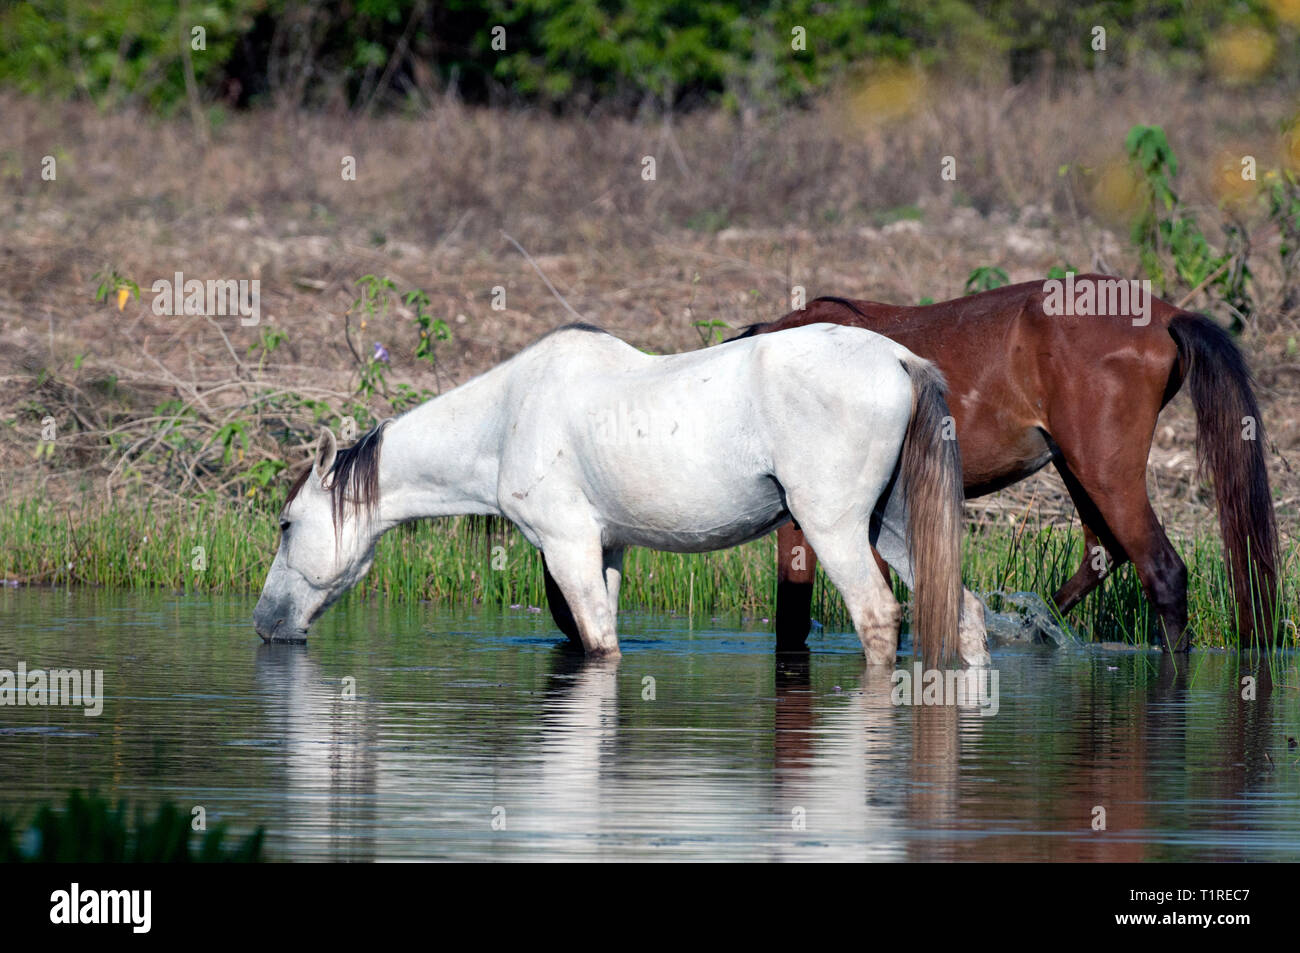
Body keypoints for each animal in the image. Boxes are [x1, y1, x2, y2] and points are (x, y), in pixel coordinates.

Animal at [250, 323, 982, 665]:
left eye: (286, 524)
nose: (264, 622)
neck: (507, 416)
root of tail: (897, 358)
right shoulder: (607, 551)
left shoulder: (567, 546)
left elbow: (599, 644)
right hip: (892, 525)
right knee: (965, 613)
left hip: (833, 529)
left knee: (878, 619)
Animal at [733, 271, 1279, 650]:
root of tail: (1165, 313)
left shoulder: (811, 520)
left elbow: (794, 620)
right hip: (1078, 470)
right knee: (1103, 554)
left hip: (1104, 475)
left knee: (1163, 573)